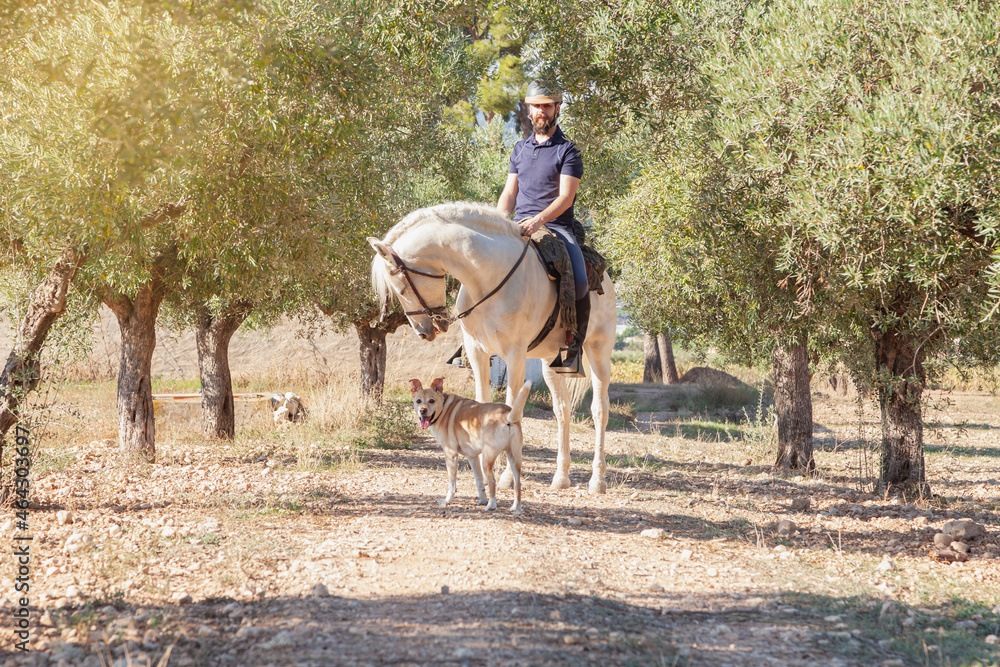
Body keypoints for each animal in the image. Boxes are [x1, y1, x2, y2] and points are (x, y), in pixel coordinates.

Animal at [370, 201, 616, 494]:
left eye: (401, 287)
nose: (423, 331)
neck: (488, 278)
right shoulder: (478, 352)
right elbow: (481, 404)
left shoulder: (515, 355)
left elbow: (512, 411)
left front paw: (508, 475)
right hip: (550, 362)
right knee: (562, 410)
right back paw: (561, 476)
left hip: (598, 350)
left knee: (599, 410)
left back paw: (598, 480)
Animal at [406, 378, 532, 516]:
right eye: (418, 401)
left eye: (431, 401)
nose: (422, 411)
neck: (444, 408)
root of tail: (507, 416)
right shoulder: (473, 457)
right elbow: (479, 481)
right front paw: (482, 500)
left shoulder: (451, 455)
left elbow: (452, 484)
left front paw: (447, 501)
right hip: (514, 457)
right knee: (517, 484)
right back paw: (516, 507)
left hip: (487, 459)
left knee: (492, 481)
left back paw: (491, 505)